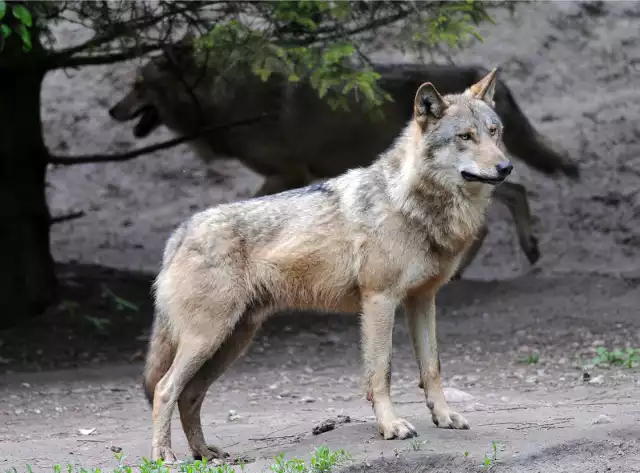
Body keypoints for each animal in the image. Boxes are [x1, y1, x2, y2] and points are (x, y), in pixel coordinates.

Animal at [109, 42, 580, 278]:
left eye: (137, 86)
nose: (112, 111)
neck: (230, 103)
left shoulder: (287, 172)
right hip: (477, 178)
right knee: (515, 191)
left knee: (504, 202)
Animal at [144, 69, 510, 460]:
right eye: (465, 137)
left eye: (493, 132)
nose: (506, 167)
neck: (412, 204)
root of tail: (181, 231)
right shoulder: (379, 301)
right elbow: (381, 374)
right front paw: (391, 426)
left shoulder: (423, 301)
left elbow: (432, 368)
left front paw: (443, 417)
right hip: (207, 339)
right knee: (165, 390)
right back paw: (165, 456)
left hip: (231, 342)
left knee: (189, 395)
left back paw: (205, 454)